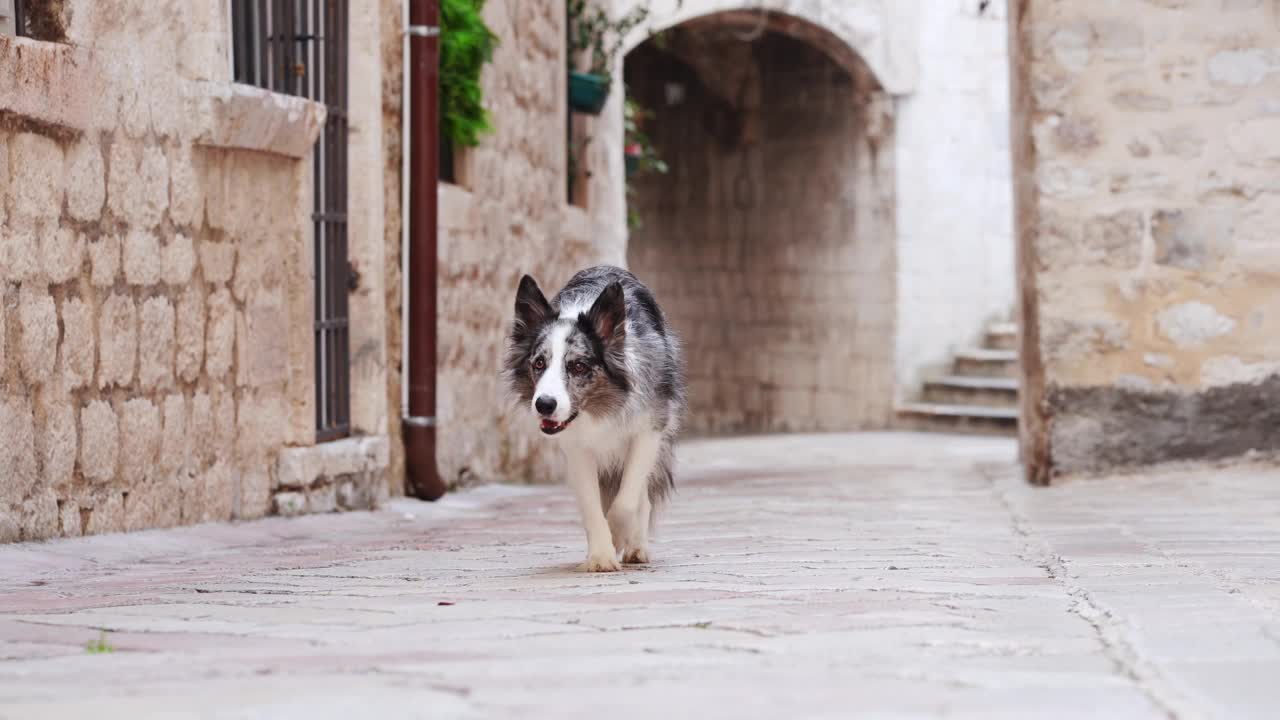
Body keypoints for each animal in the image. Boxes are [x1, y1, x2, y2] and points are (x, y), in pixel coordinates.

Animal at [501, 265, 691, 571]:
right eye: (539, 363)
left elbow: (626, 502)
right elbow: (592, 507)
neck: (599, 409)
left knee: (640, 495)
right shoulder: (577, 448)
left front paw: (618, 537)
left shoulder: (648, 430)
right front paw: (601, 555)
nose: (544, 405)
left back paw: (636, 546)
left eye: (578, 366)